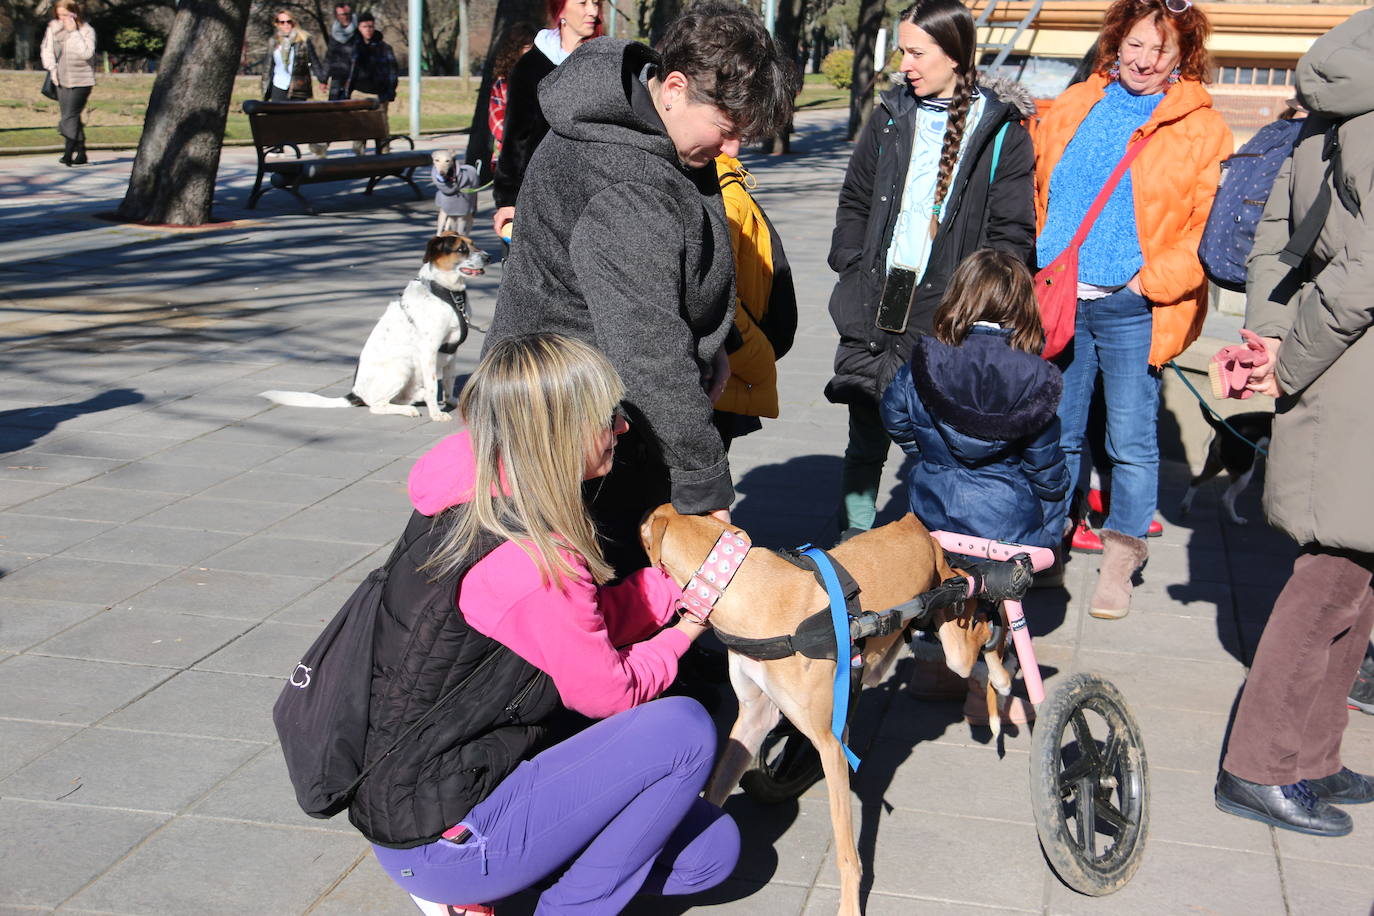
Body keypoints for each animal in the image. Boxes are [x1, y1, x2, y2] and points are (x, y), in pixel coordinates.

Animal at [259, 234, 491, 425]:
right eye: (461, 249)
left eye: (473, 243)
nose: (488, 257)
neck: (448, 293)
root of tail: (355, 394)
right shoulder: (429, 350)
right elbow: (434, 386)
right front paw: (436, 413)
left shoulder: (452, 350)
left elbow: (449, 382)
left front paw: (454, 402)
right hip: (401, 367)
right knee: (377, 406)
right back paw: (409, 409)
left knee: (402, 398)